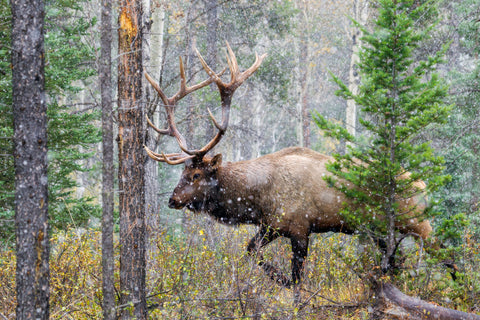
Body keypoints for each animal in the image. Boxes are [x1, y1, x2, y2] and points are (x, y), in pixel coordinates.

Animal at [144, 42, 434, 288]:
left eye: (195, 174)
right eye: (182, 171)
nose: (172, 200)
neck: (258, 199)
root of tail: (424, 185)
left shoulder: (299, 227)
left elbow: (294, 276)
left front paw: (282, 280)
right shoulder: (271, 225)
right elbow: (251, 250)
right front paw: (278, 277)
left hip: (417, 222)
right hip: (381, 230)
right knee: (395, 262)